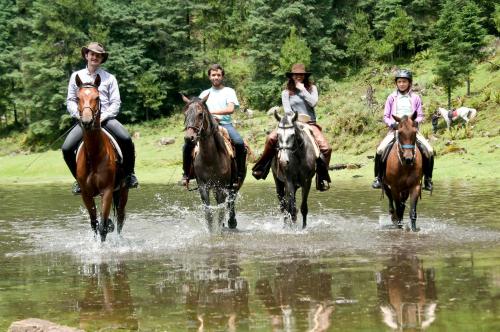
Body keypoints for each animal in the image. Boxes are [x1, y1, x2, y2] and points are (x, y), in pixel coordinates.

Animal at [75, 74, 129, 241]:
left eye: (97, 97)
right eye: (77, 98)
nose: (87, 122)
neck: (93, 155)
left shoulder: (107, 191)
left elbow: (103, 227)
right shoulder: (86, 194)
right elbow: (94, 224)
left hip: (123, 190)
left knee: (120, 217)